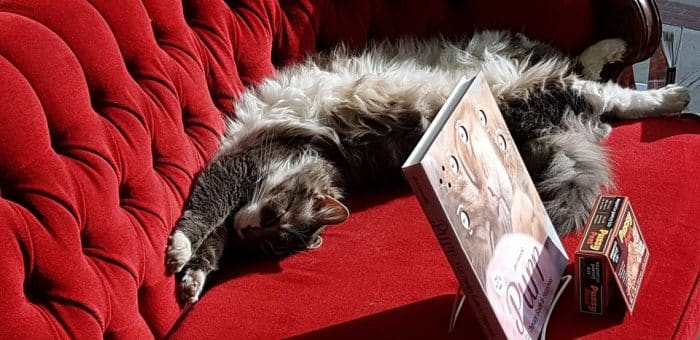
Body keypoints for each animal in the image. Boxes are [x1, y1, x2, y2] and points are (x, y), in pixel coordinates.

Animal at [164, 30, 688, 302]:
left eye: (277, 222)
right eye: (267, 244)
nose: (250, 229)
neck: (323, 160)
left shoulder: (240, 163)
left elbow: (202, 212)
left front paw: (176, 253)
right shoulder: (239, 187)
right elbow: (213, 242)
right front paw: (190, 279)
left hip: (525, 88)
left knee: (605, 92)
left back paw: (671, 94)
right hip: (531, 80)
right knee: (585, 77)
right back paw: (625, 59)